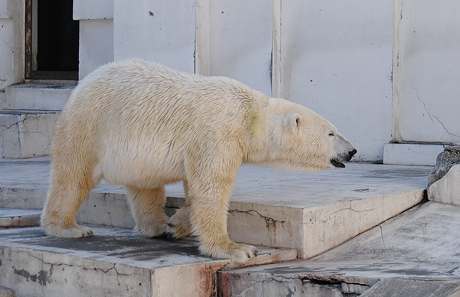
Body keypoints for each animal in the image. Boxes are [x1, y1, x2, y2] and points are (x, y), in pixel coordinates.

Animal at [40, 58, 356, 262]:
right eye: (331, 133)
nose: (352, 151)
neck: (249, 117)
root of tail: (82, 84)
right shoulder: (217, 132)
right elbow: (212, 188)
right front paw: (237, 249)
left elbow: (196, 189)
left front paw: (177, 224)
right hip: (90, 125)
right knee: (73, 175)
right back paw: (68, 227)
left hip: (132, 153)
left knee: (146, 186)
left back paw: (157, 225)